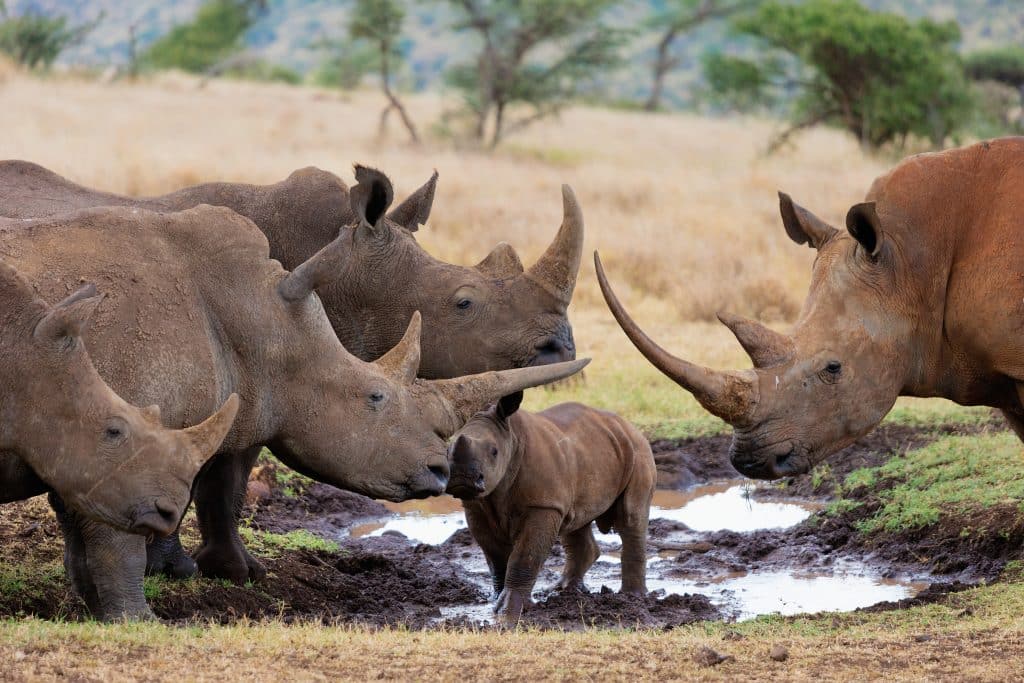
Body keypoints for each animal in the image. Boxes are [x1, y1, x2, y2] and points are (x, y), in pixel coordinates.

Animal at [447, 393, 655, 623]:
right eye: (447, 450)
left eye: (494, 452)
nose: (462, 479)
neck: (511, 436)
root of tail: (630, 426)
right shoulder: (475, 507)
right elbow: (495, 556)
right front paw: (494, 600)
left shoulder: (542, 505)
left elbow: (524, 556)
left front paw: (509, 609)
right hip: (586, 456)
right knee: (575, 521)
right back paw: (564, 590)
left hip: (638, 451)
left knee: (631, 518)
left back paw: (632, 598)